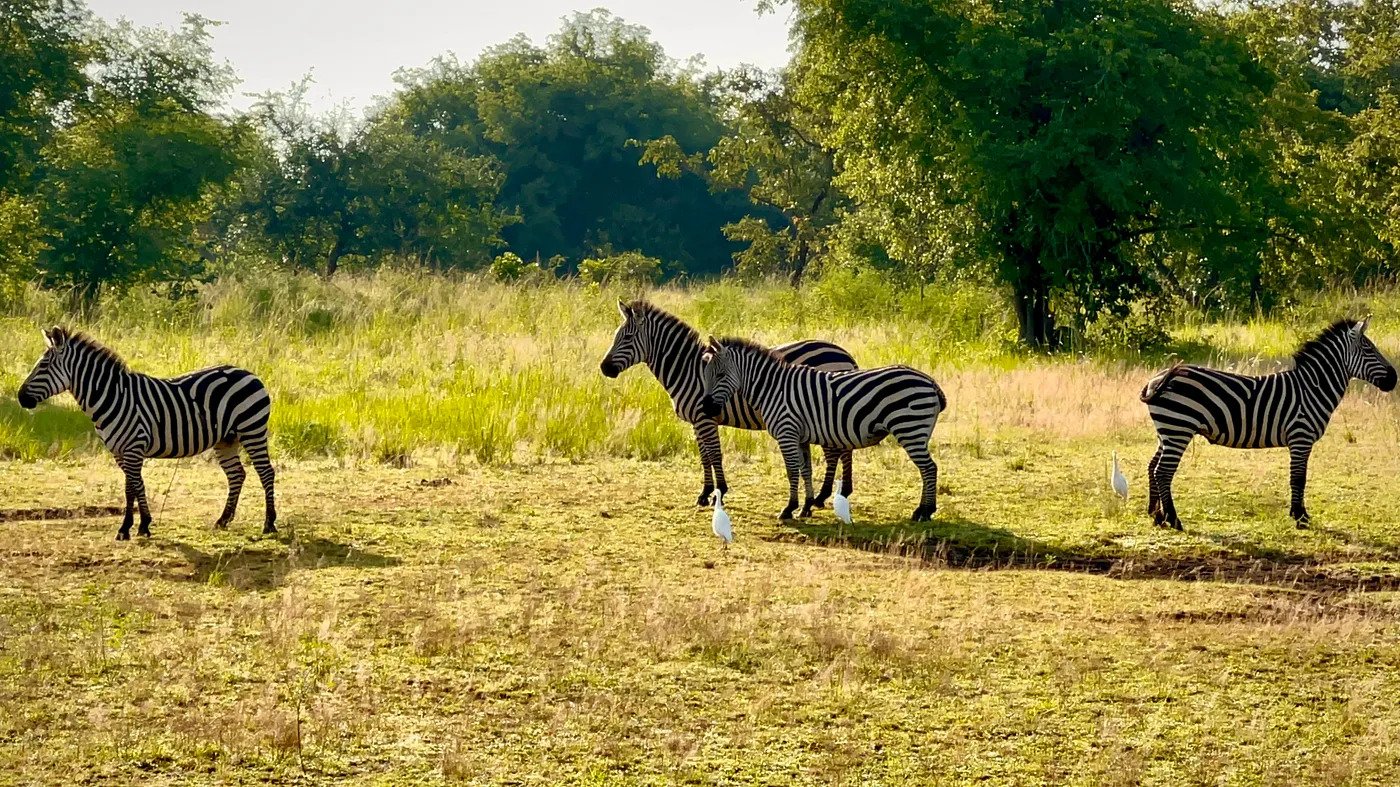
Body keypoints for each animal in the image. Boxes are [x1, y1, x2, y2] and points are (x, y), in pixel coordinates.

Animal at [15, 324, 278, 537]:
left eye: (43, 366)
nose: (20, 398)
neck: (113, 396)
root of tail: (250, 374)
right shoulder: (119, 451)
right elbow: (134, 485)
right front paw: (139, 526)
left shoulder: (133, 447)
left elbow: (131, 487)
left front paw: (130, 528)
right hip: (226, 439)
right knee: (237, 475)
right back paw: (223, 520)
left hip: (252, 430)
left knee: (266, 472)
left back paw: (269, 524)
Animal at [599, 296, 856, 504]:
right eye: (616, 336)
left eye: (627, 337)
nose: (604, 368)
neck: (687, 369)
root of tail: (844, 354)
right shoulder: (698, 421)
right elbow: (704, 456)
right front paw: (705, 493)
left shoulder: (705, 418)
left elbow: (714, 454)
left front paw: (720, 491)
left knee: (837, 452)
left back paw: (826, 495)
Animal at [700, 331, 952, 520]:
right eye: (706, 374)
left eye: (720, 375)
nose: (706, 408)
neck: (773, 388)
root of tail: (930, 381)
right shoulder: (799, 436)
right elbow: (806, 470)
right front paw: (806, 506)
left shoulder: (786, 431)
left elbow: (792, 471)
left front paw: (789, 508)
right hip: (917, 432)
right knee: (928, 469)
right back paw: (923, 510)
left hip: (910, 429)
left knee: (929, 468)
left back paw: (924, 511)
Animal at [1142, 315, 1394, 529]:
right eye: (1369, 349)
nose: (1395, 379)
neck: (1311, 389)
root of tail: (1158, 379)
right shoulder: (1301, 437)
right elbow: (1298, 478)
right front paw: (1300, 517)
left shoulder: (1300, 439)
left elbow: (1298, 478)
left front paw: (1298, 514)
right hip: (1178, 429)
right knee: (1163, 472)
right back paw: (1173, 519)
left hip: (1166, 431)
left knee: (1153, 466)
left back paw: (1156, 516)